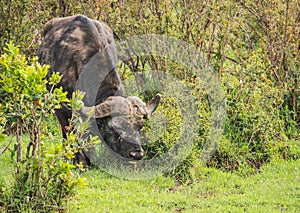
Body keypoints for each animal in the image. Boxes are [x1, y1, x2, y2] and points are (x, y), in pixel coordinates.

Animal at [37, 14, 161, 163]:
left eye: (140, 126)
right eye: (115, 129)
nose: (136, 154)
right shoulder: (62, 107)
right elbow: (71, 130)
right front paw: (80, 160)